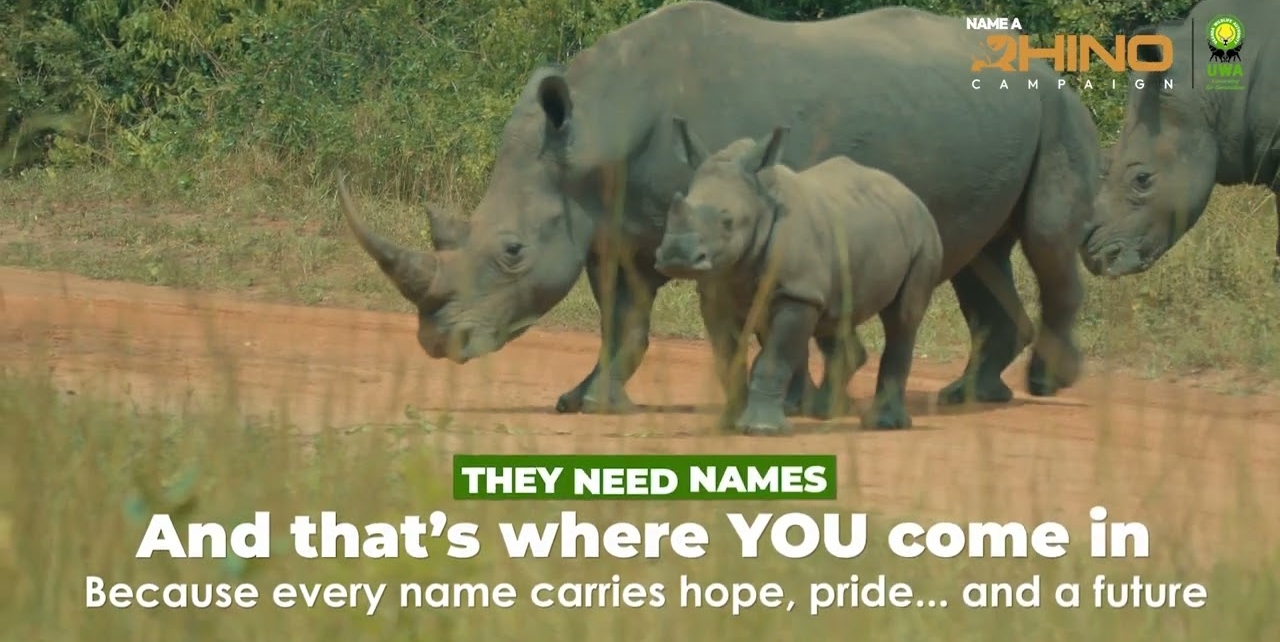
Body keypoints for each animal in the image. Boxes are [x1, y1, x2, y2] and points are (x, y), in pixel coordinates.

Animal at [654, 120, 943, 434]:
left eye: (728, 222)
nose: (676, 256)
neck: (760, 204)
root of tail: (907, 191)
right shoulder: (717, 296)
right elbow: (728, 358)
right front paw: (728, 425)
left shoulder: (797, 293)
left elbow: (773, 360)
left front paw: (762, 429)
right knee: (835, 317)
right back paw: (827, 413)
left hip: (924, 236)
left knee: (902, 318)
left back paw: (882, 424)